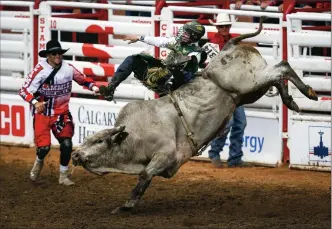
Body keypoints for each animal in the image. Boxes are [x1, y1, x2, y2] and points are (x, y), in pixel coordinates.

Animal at [71, 17, 318, 214]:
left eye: (99, 141)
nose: (75, 154)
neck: (134, 138)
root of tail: (229, 47)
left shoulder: (166, 155)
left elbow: (144, 177)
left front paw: (126, 206)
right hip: (248, 93)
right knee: (278, 76)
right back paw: (292, 100)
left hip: (250, 83)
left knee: (282, 67)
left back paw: (308, 92)